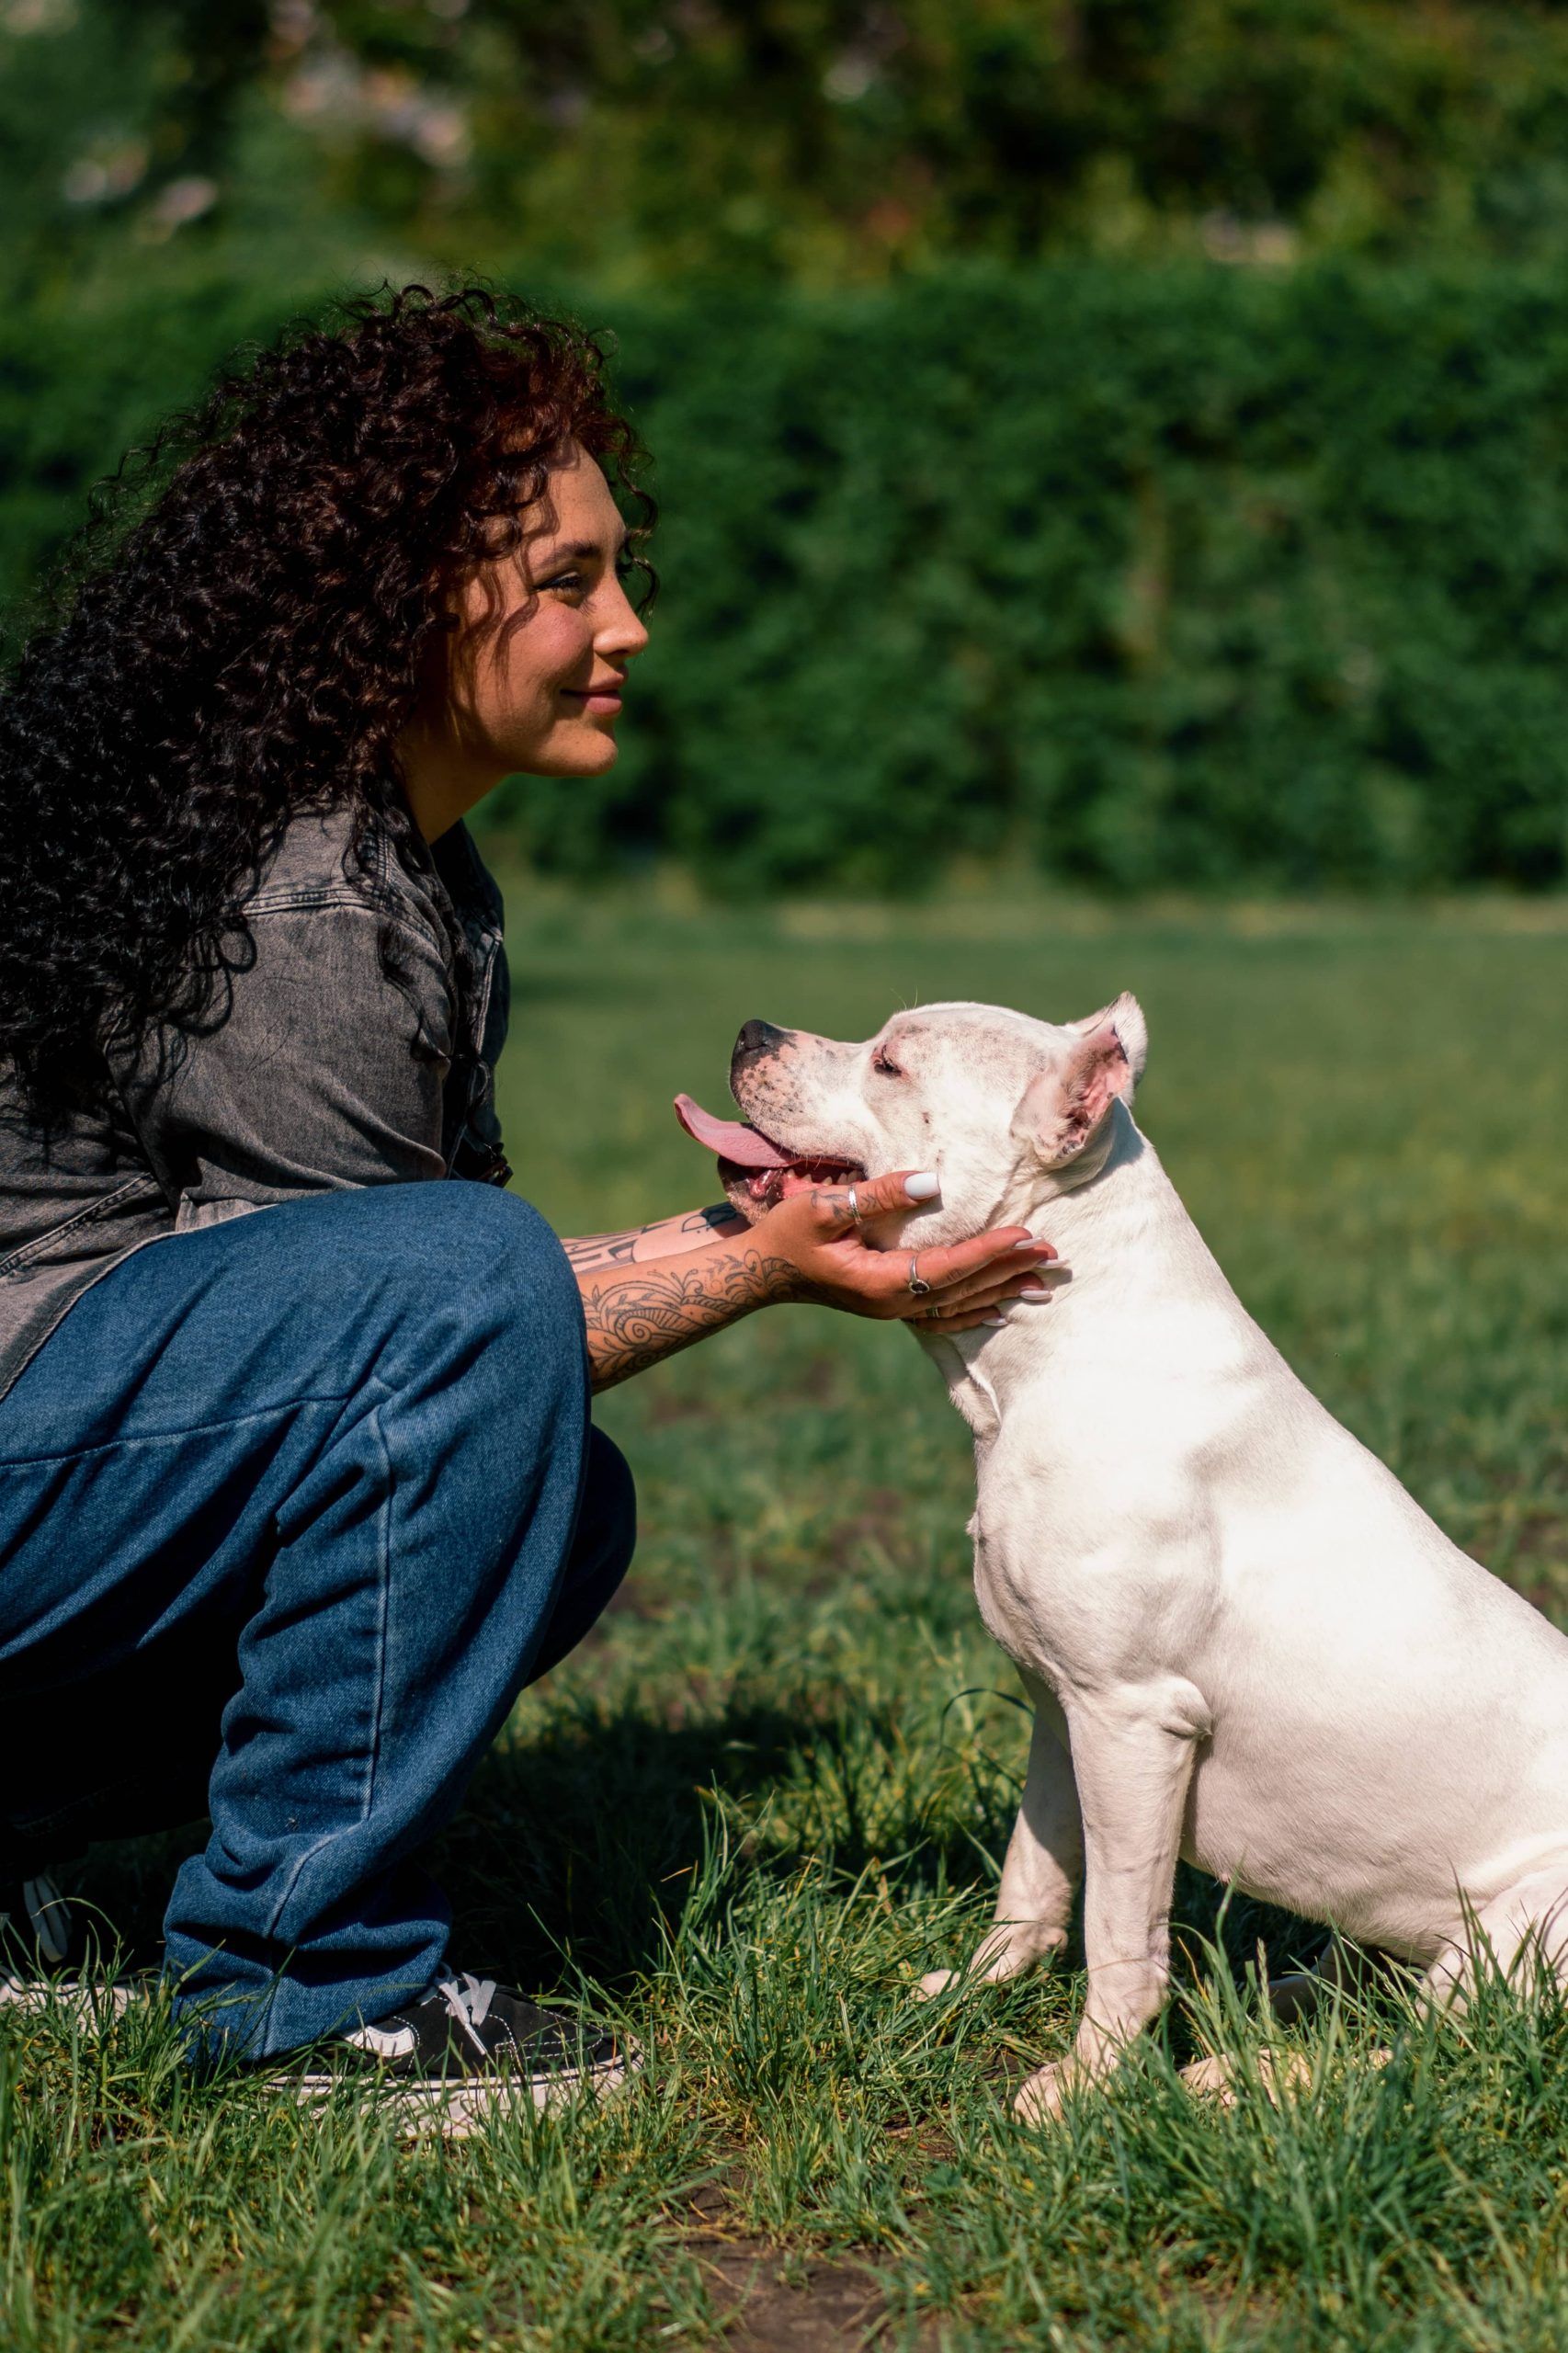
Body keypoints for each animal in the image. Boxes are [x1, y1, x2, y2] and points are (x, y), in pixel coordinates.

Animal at [682, 993, 1568, 2118]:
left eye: (889, 1063)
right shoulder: (1060, 1710)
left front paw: (1083, 2083)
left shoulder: (1133, 1717)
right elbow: (1032, 1875)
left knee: (1431, 2051)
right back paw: (1281, 2002)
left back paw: (1242, 2076)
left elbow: (1117, 1924)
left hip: (1525, 1931)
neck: (1054, 1354)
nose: (750, 1031)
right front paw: (972, 1993)